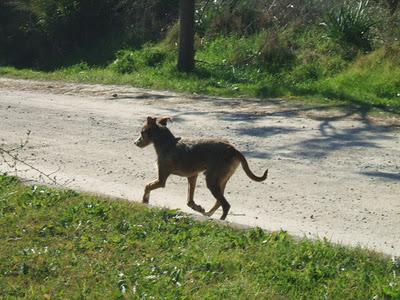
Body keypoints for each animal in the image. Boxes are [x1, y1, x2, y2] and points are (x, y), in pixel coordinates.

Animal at [134, 116, 268, 219]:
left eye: (142, 132)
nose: (135, 143)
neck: (168, 143)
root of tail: (232, 149)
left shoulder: (161, 180)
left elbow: (147, 186)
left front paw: (144, 201)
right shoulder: (192, 177)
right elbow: (189, 200)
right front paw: (197, 207)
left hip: (212, 181)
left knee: (226, 205)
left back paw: (221, 220)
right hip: (221, 181)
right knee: (219, 202)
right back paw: (208, 214)